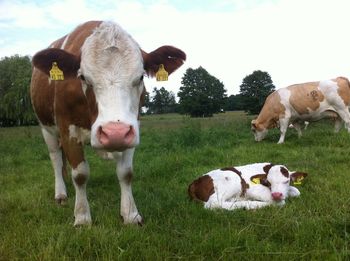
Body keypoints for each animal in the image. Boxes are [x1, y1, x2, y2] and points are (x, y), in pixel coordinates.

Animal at [30, 20, 186, 224]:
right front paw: (82, 217)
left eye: (141, 77)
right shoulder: (67, 130)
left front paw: (130, 214)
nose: (114, 133)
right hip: (46, 128)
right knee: (56, 158)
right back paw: (61, 194)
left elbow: (126, 173)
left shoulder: (132, 129)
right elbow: (80, 175)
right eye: (83, 77)